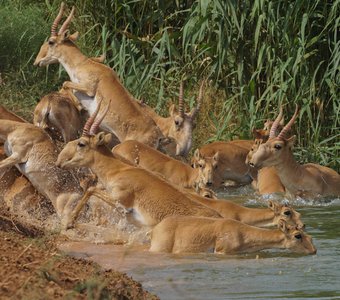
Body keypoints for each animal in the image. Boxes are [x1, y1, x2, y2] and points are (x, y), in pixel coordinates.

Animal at [33, 2, 164, 148]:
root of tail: (157, 136)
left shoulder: (88, 88)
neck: (84, 64)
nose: (37, 62)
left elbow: (66, 83)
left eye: (51, 41)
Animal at [55, 103, 222, 227]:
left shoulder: (120, 201)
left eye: (81, 143)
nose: (59, 162)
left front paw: (68, 223)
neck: (119, 170)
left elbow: (91, 190)